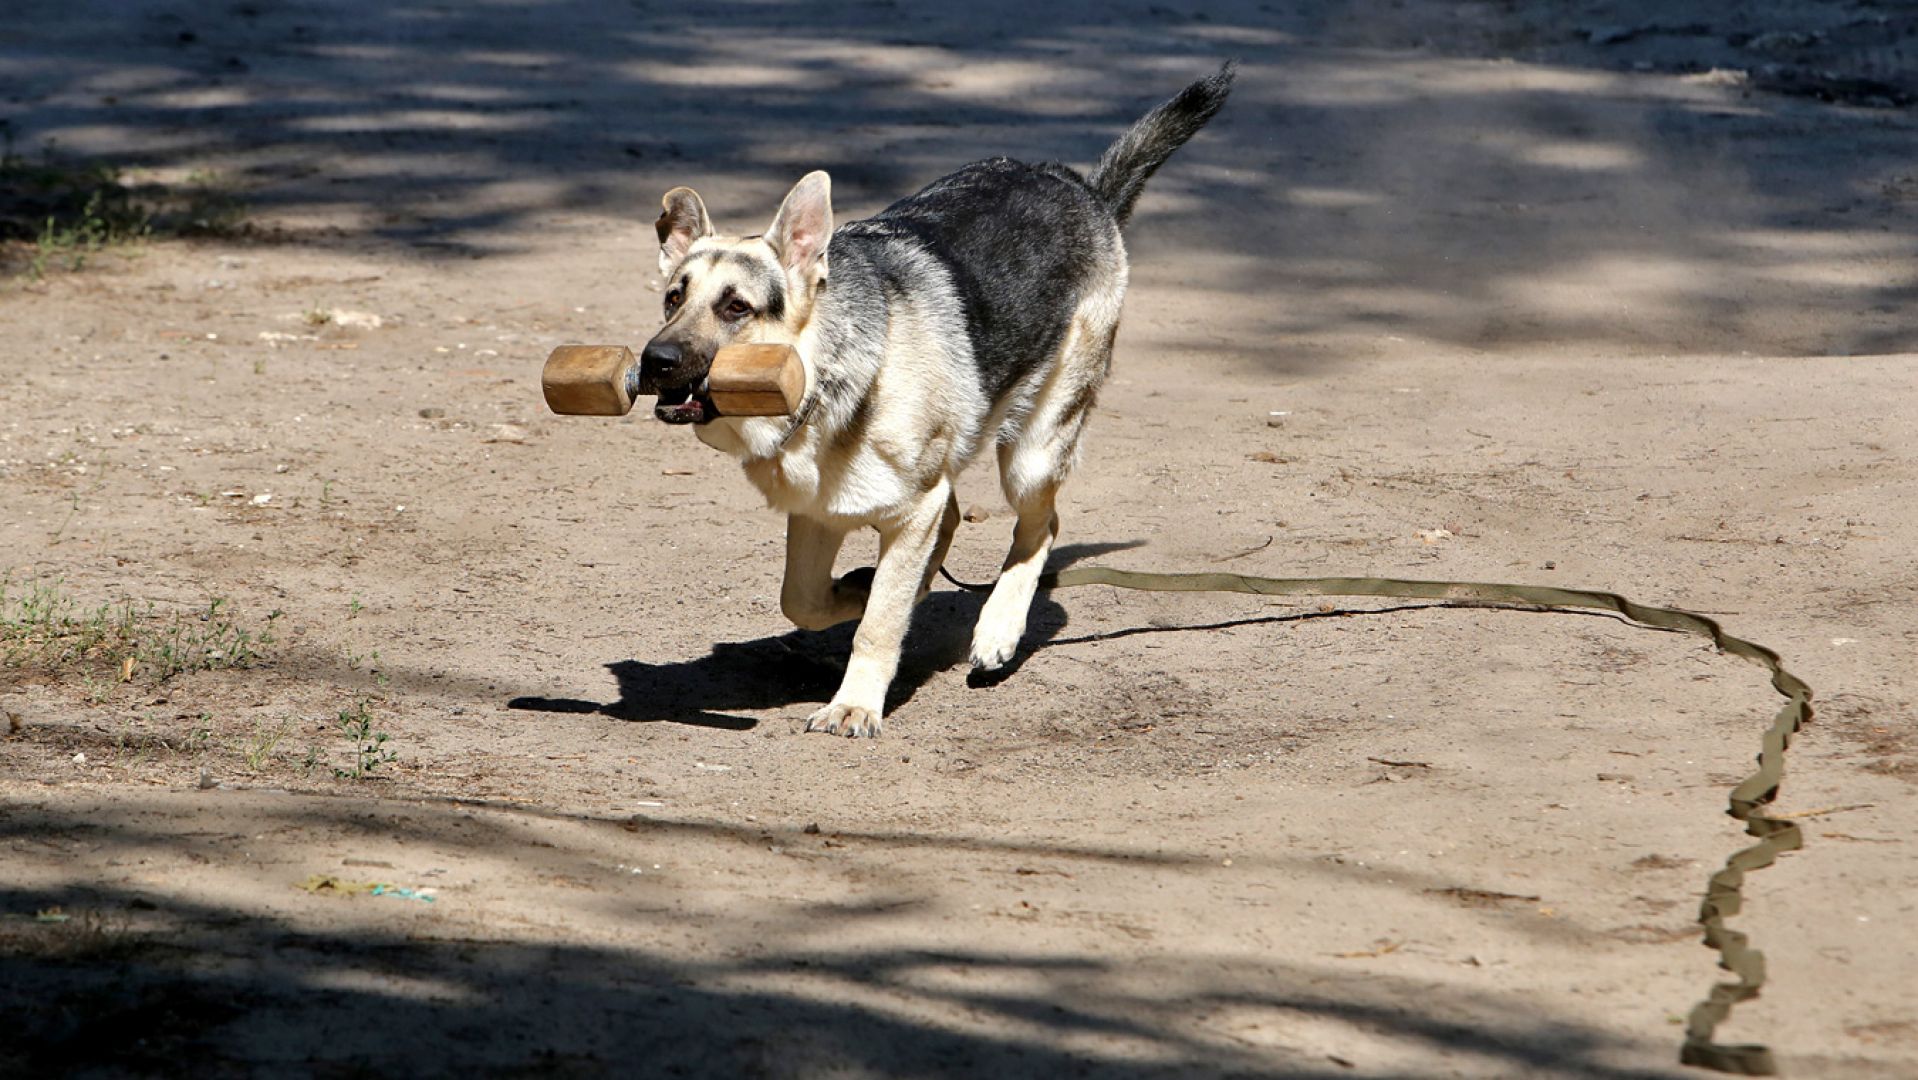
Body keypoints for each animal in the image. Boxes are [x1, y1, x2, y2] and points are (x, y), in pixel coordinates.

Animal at [644, 65, 1235, 736]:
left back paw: (999, 627)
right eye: (673, 298)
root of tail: (1086, 190)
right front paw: (865, 589)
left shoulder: (912, 511)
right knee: (961, 523)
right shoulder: (820, 512)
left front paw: (855, 702)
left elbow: (878, 622)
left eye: (735, 307)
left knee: (1041, 527)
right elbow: (804, 599)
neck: (828, 374)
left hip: (1032, 456)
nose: (654, 362)